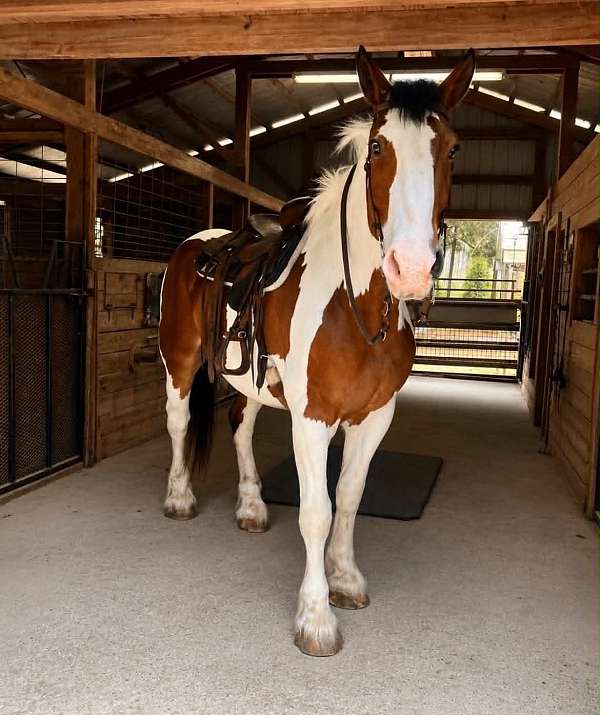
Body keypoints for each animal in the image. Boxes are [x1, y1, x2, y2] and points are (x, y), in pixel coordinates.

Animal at [159, 46, 475, 657]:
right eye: (378, 148)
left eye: (451, 149)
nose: (411, 269)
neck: (356, 306)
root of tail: (197, 244)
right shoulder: (312, 419)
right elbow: (315, 512)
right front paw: (316, 618)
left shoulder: (375, 416)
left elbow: (349, 496)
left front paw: (345, 580)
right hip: (180, 364)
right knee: (180, 422)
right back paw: (180, 499)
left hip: (250, 379)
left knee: (239, 426)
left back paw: (252, 507)